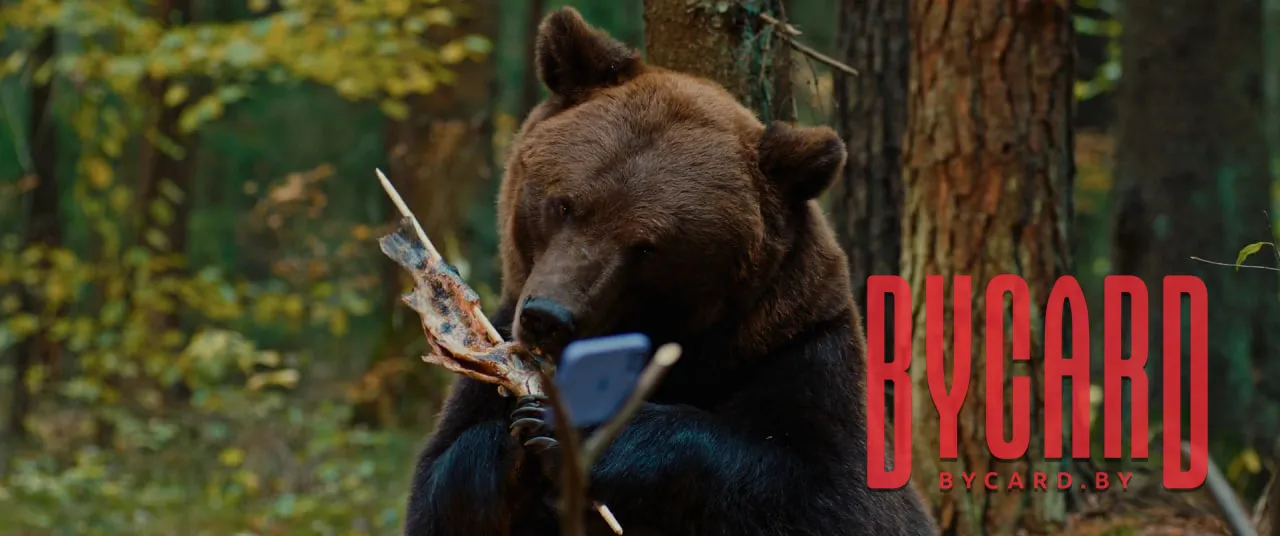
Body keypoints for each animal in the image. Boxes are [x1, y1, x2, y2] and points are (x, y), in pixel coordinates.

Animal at [403, 6, 936, 536]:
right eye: (564, 204)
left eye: (646, 246)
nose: (548, 318)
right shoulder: (492, 348)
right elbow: (440, 488)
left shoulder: (800, 356)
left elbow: (829, 494)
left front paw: (578, 426)